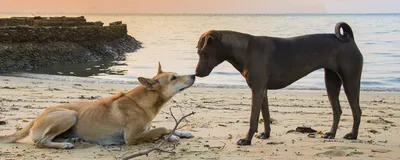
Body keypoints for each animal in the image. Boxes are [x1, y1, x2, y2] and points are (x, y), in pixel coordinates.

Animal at [0, 62, 195, 149]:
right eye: (174, 78)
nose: (194, 74)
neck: (142, 102)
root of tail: (35, 118)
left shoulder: (145, 129)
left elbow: (165, 128)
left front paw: (181, 133)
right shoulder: (132, 137)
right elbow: (163, 128)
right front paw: (172, 136)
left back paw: (72, 139)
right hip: (69, 114)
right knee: (41, 142)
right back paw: (65, 145)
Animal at [195, 21, 364, 146]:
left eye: (204, 53)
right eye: (198, 52)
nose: (196, 73)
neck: (245, 49)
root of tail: (350, 39)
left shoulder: (257, 90)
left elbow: (253, 119)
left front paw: (247, 140)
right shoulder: (262, 90)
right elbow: (265, 115)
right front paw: (266, 134)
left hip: (350, 82)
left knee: (357, 110)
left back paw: (353, 135)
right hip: (331, 82)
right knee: (337, 110)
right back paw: (331, 134)